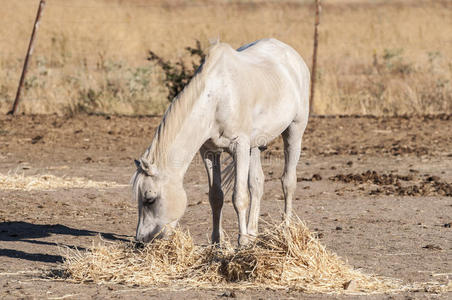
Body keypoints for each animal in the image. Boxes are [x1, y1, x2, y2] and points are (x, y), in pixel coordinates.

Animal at [132, 38, 308, 246]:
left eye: (150, 199)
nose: (141, 240)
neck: (217, 97)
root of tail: (292, 54)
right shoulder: (210, 151)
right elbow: (216, 196)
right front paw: (217, 242)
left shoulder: (239, 147)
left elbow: (239, 197)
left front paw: (242, 242)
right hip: (255, 146)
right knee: (257, 183)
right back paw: (252, 232)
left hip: (294, 131)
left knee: (288, 182)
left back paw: (286, 230)